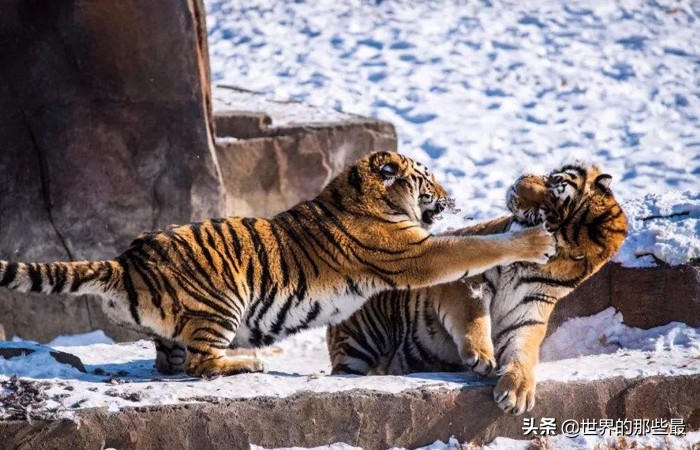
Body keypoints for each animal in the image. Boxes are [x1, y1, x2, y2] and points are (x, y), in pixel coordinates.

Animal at [0, 151, 556, 378]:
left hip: (177, 329)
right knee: (201, 364)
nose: (451, 195)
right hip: (221, 301)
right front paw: (533, 240)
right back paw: (250, 362)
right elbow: (471, 249)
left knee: (170, 363)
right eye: (428, 179)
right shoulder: (415, 253)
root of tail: (125, 260)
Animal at [327, 162, 628, 414]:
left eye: (546, 212)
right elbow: (474, 317)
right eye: (554, 179)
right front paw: (481, 357)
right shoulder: (465, 280)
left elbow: (523, 352)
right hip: (360, 339)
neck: (531, 266)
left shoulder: (527, 316)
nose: (520, 181)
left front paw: (516, 392)